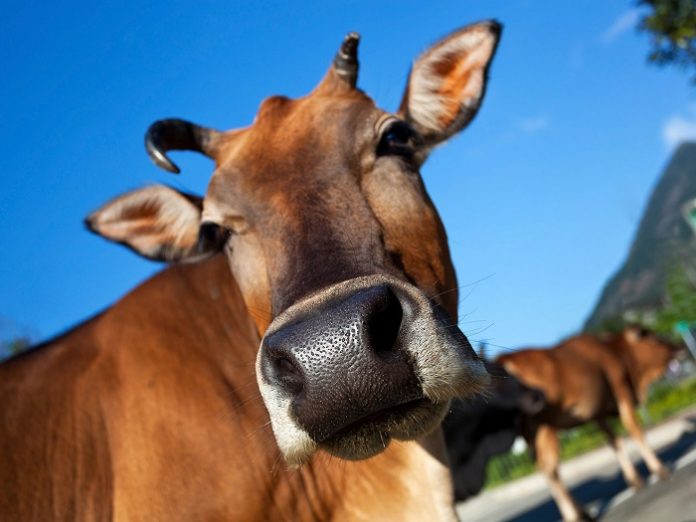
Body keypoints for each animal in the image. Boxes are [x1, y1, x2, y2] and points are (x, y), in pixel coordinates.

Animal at [498, 328, 676, 516]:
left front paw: (635, 480)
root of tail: (504, 359)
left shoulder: (598, 413)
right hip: (541, 424)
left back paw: (580, 511)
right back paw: (575, 515)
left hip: (529, 431)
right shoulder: (621, 391)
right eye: (654, 339)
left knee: (544, 469)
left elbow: (614, 441)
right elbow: (635, 431)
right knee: (549, 468)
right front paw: (660, 470)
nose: (678, 348)